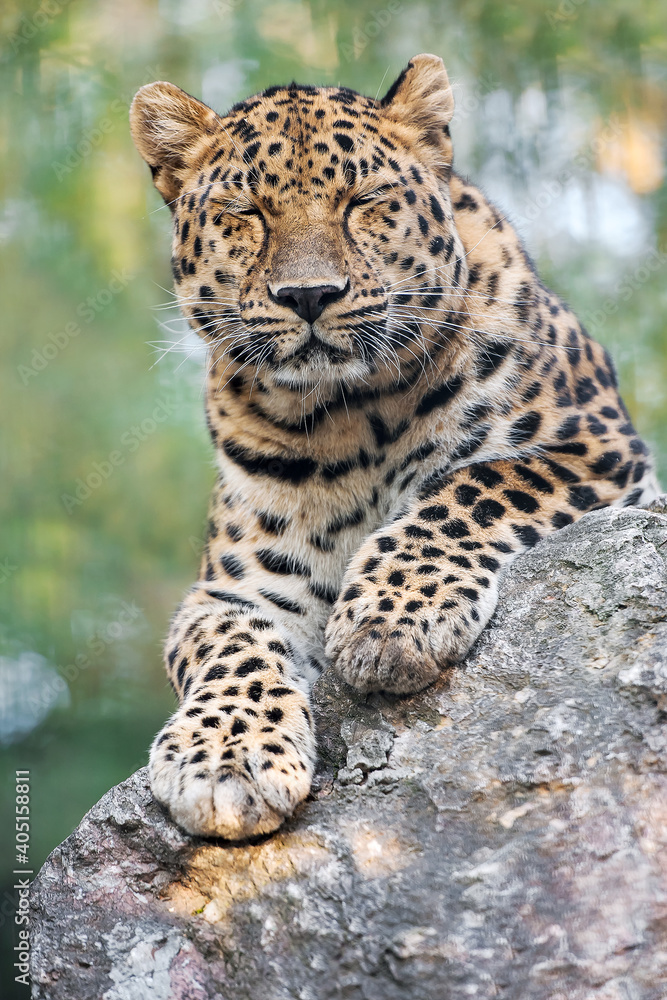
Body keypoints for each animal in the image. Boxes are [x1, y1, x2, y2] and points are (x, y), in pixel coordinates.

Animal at [129, 54, 659, 840]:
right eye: (246, 212)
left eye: (363, 200)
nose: (309, 295)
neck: (349, 416)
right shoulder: (234, 588)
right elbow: (228, 644)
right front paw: (224, 758)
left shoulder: (599, 451)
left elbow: (471, 486)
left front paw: (389, 624)